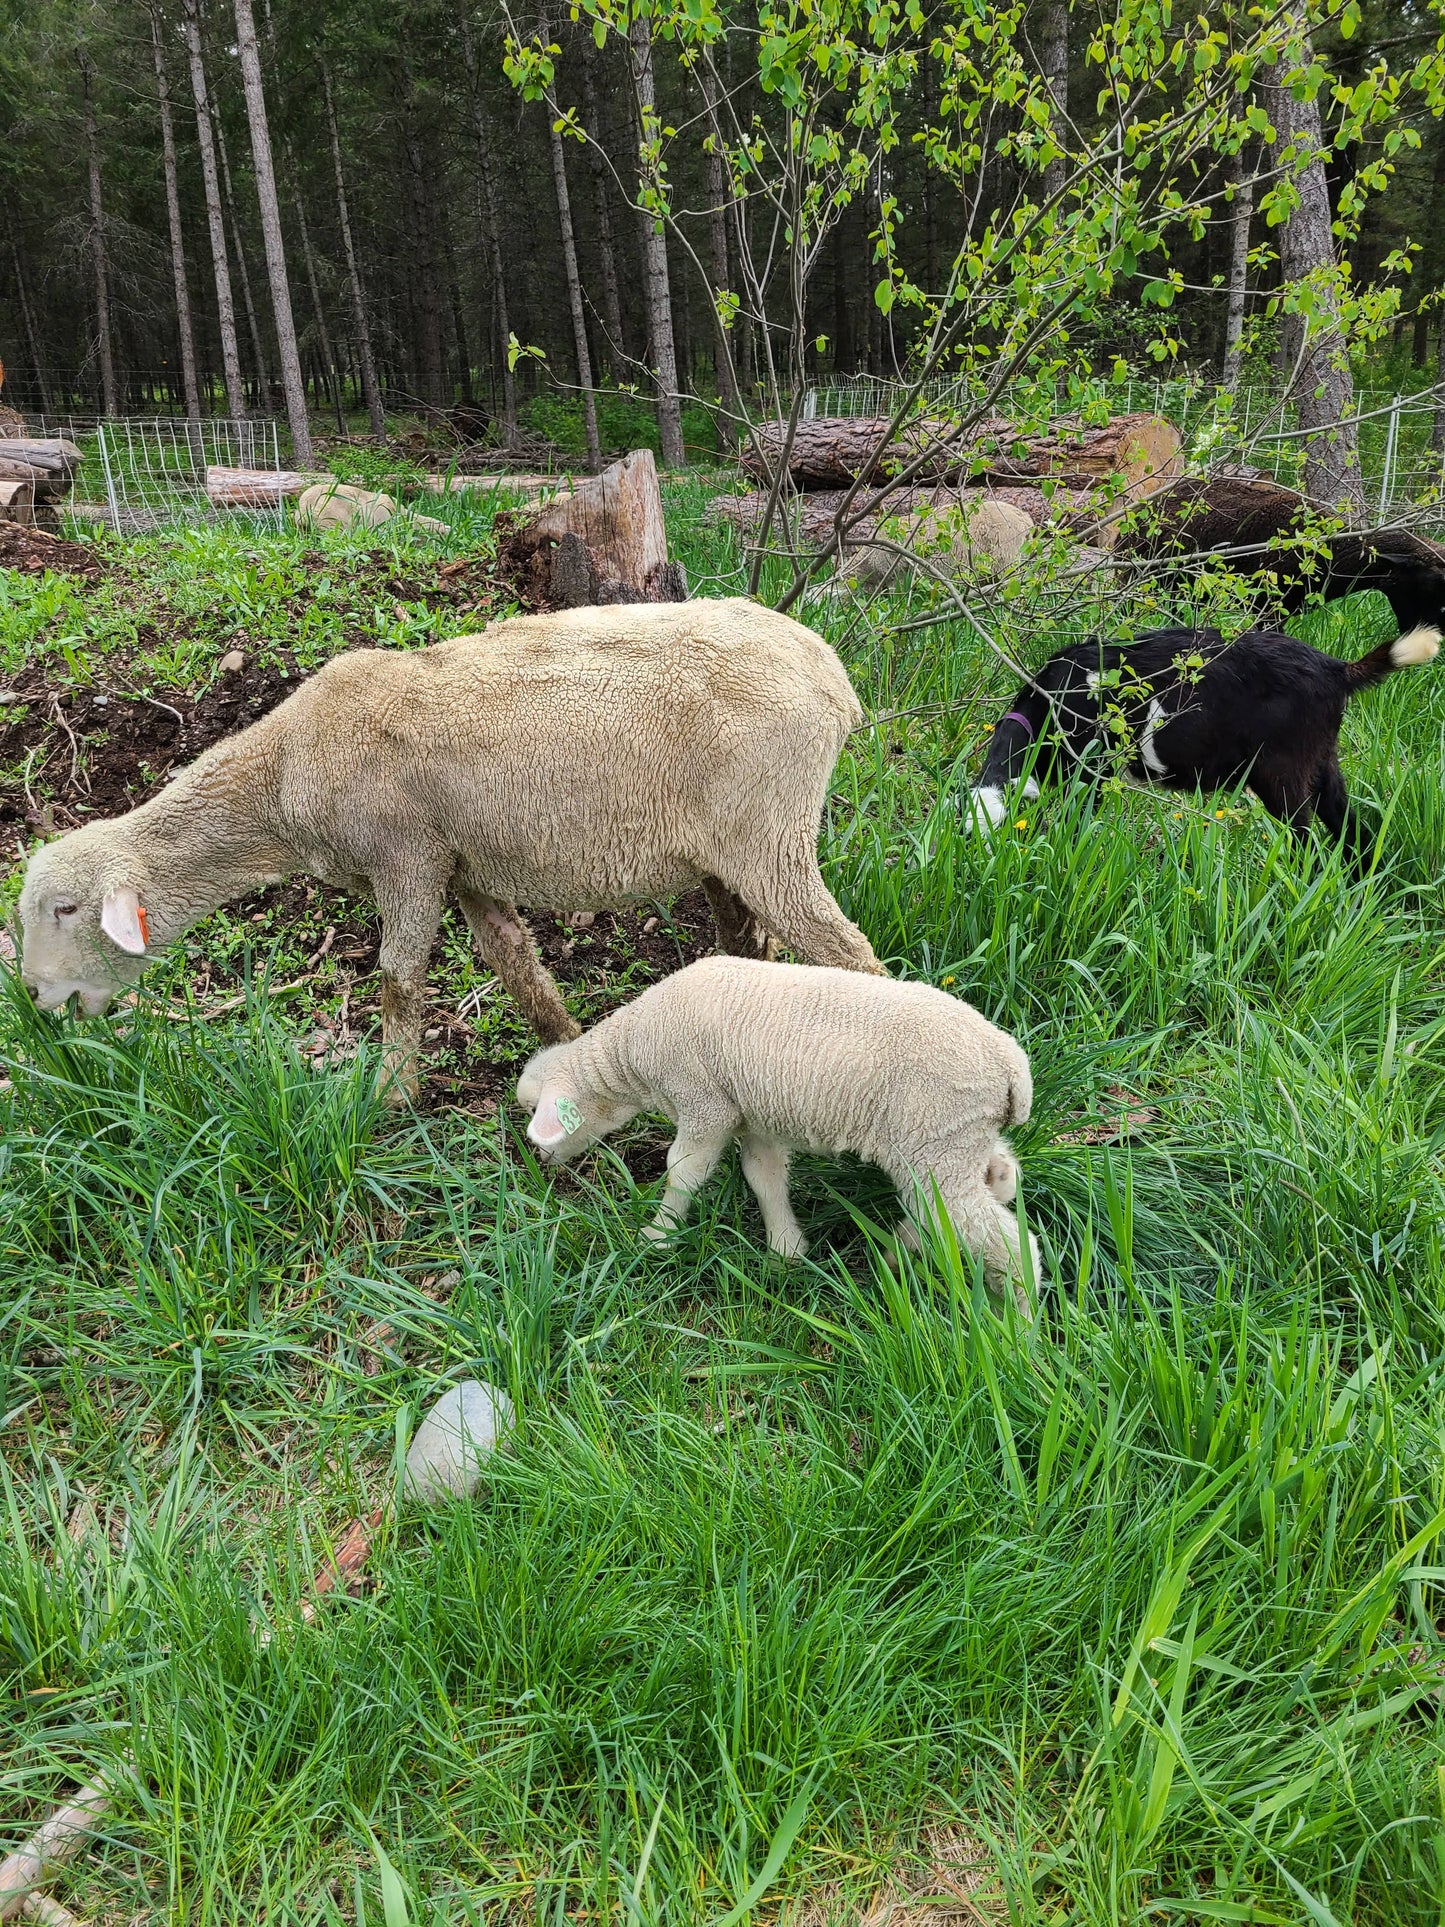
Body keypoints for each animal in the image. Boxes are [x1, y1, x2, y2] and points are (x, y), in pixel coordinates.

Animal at [16, 599, 884, 1101]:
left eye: (65, 908)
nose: (37, 999)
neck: (284, 767)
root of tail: (832, 677)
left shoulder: (407, 857)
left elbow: (398, 981)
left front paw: (388, 1097)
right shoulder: (464, 863)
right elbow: (513, 961)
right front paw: (564, 1049)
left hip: (767, 830)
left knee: (852, 956)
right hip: (728, 851)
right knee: (751, 945)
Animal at [517, 956, 1039, 1311]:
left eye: (535, 1113)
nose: (542, 1163)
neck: (633, 1051)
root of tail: (1012, 1067)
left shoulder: (704, 1103)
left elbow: (682, 1171)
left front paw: (658, 1236)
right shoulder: (752, 1116)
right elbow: (762, 1176)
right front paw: (786, 1251)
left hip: (935, 1140)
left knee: (1002, 1239)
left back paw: (1020, 1328)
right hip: (953, 1141)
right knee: (996, 1180)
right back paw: (898, 1253)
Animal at [964, 621, 1440, 853]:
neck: (1047, 705)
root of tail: (1336, 669)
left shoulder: (1091, 771)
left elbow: (1078, 822)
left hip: (1282, 776)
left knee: (1307, 840)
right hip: (1324, 763)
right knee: (1351, 829)